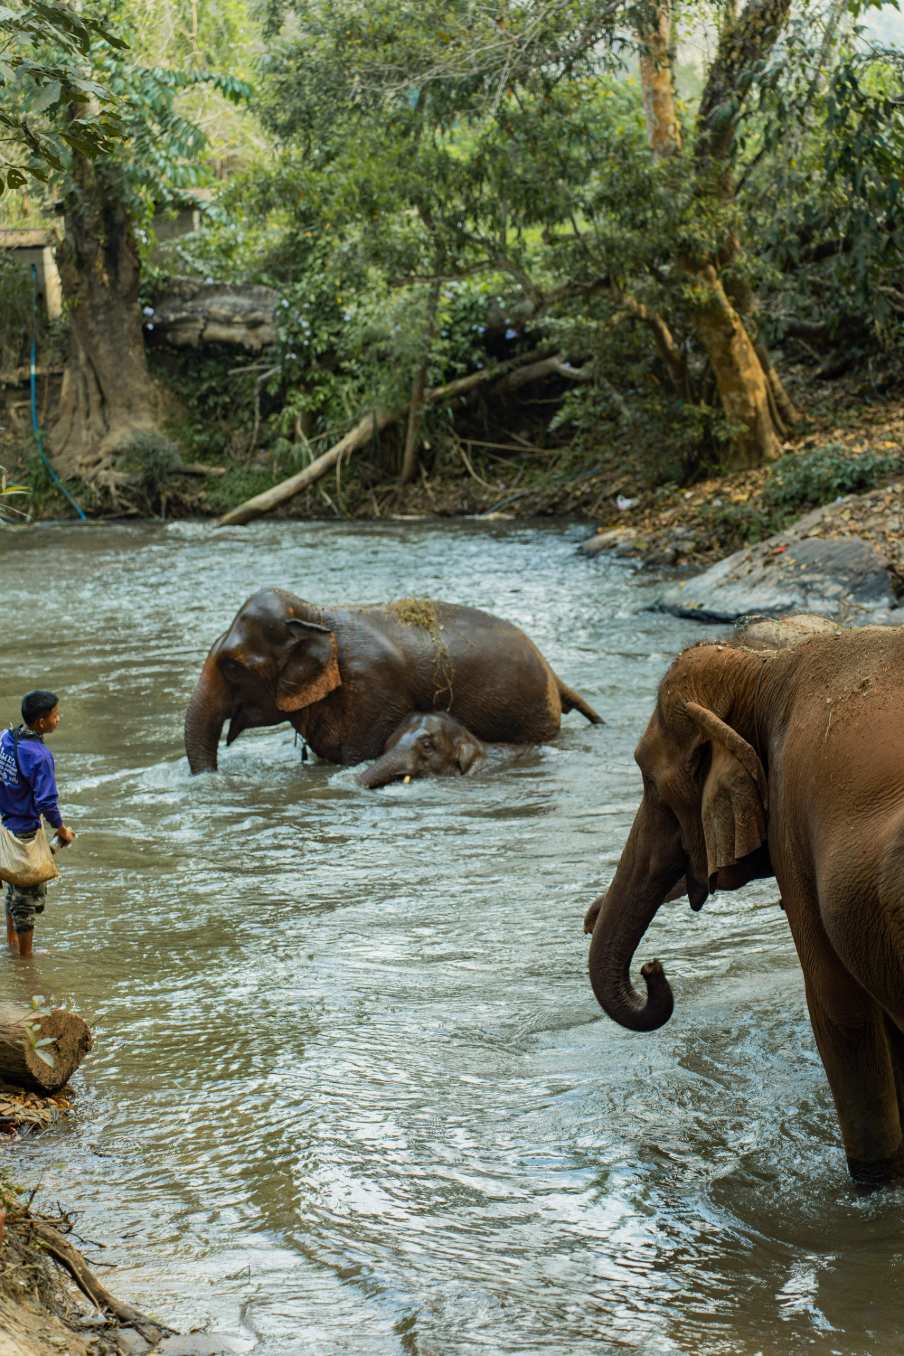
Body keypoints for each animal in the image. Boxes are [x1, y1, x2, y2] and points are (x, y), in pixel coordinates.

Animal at [583, 626, 904, 1185]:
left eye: (648, 779)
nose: (652, 968)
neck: (763, 667)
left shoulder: (794, 823)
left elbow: (836, 1006)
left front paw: (871, 1184)